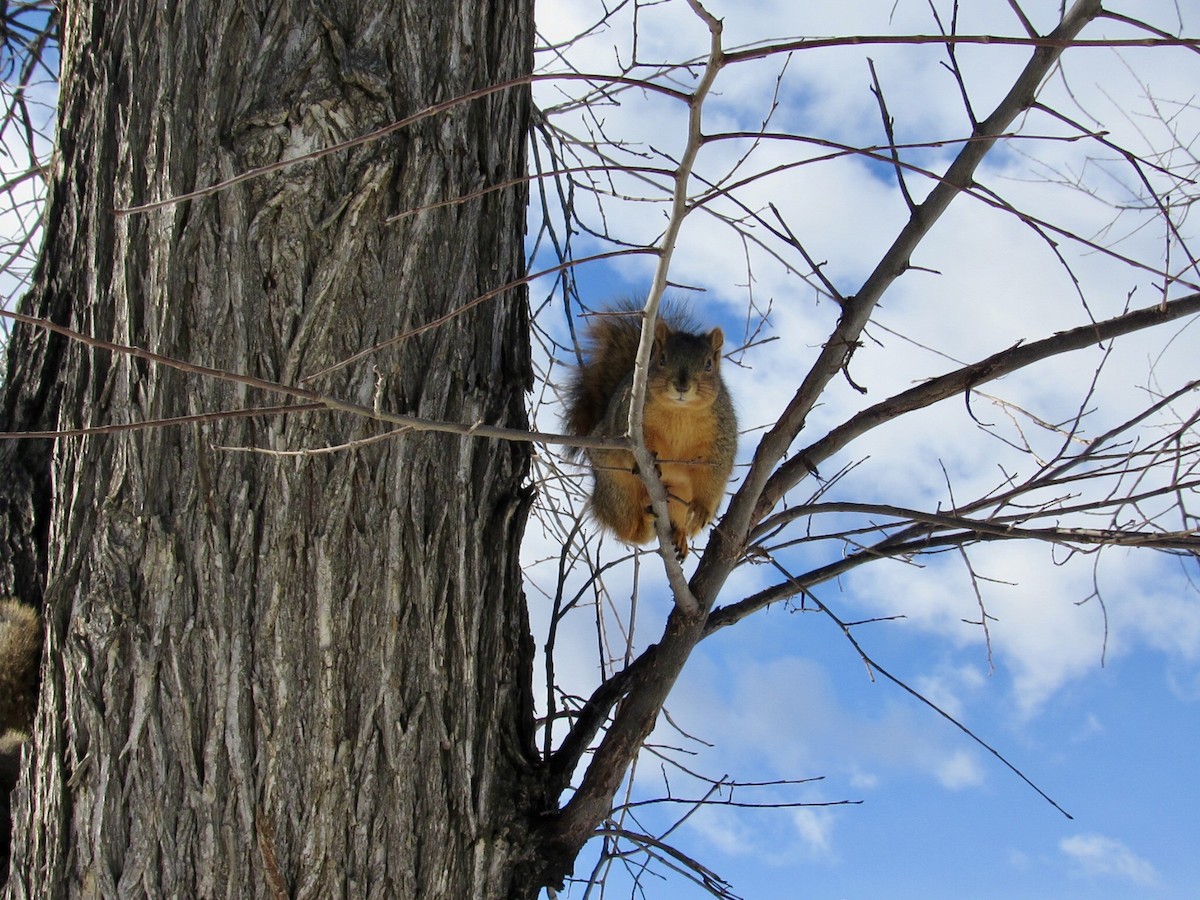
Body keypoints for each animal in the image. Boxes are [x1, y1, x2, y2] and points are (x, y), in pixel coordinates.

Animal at [563, 303, 737, 557]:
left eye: (709, 365)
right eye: (661, 359)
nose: (682, 386)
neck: (680, 412)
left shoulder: (721, 437)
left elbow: (714, 473)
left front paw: (701, 510)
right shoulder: (630, 426)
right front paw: (651, 461)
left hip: (680, 494)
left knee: (676, 518)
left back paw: (680, 537)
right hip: (617, 487)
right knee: (629, 529)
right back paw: (643, 523)